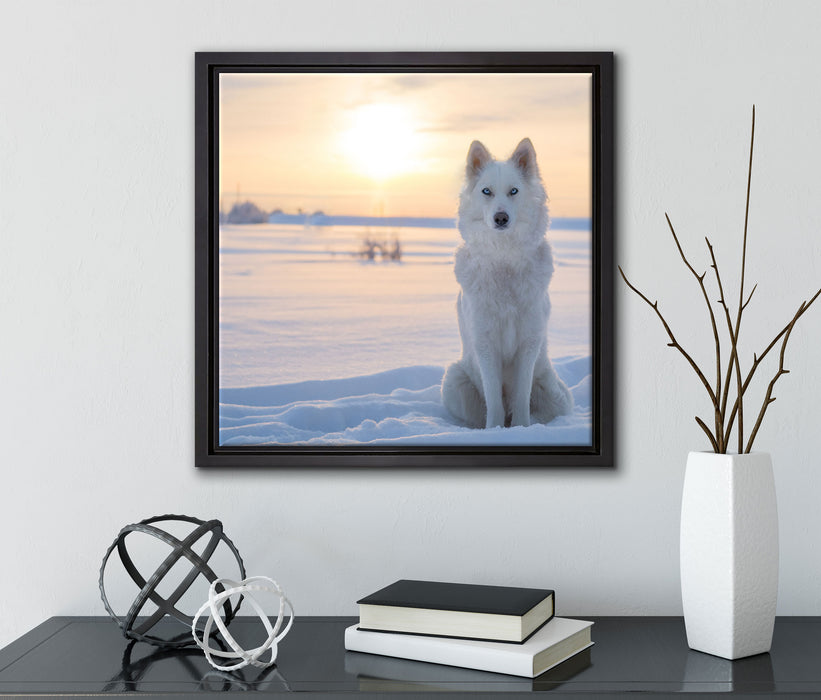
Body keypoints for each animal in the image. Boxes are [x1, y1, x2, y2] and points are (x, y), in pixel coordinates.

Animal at [441, 138, 573, 429]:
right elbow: (494, 399)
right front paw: (495, 431)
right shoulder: (485, 344)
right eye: (486, 191)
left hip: (556, 394)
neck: (504, 260)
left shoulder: (529, 342)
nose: (501, 218)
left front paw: (521, 429)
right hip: (454, 381)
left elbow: (521, 396)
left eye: (513, 191)